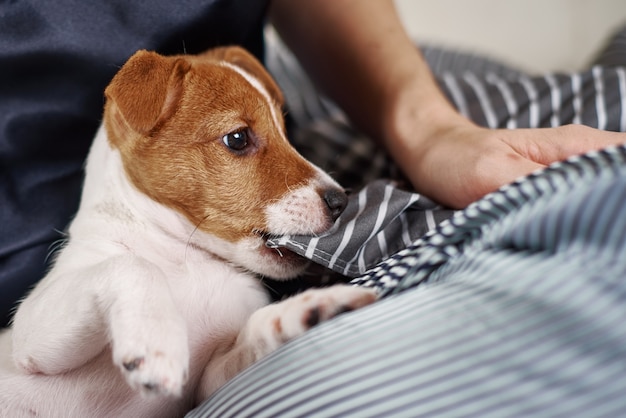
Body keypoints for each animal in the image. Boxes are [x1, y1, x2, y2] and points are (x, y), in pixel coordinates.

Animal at [0, 46, 376, 418]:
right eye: (238, 138)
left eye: (286, 132)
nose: (340, 201)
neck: (187, 259)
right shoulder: (31, 334)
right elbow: (133, 265)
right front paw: (155, 340)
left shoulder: (207, 384)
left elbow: (255, 332)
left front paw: (311, 308)